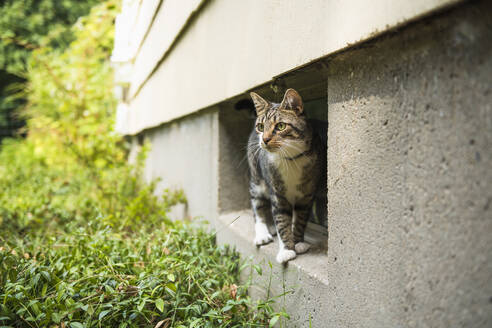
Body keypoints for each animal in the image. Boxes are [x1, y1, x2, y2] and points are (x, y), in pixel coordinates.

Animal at [246, 89, 322, 264]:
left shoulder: (307, 195)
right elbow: (281, 220)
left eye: (280, 126)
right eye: (261, 126)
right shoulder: (277, 194)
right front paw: (287, 250)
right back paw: (262, 233)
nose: (265, 139)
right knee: (257, 204)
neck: (290, 159)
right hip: (256, 178)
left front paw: (298, 242)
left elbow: (300, 219)